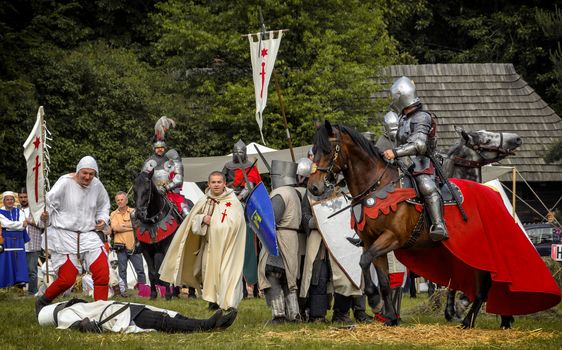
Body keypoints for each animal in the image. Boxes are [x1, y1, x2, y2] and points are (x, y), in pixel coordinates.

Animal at [131, 171, 179, 300]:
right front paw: (153, 294)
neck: (153, 220)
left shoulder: (167, 248)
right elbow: (152, 272)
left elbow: (164, 271)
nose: (140, 214)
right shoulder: (146, 250)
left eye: (147, 189)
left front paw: (167, 295)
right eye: (134, 189)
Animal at [308, 120, 556, 328]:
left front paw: (375, 301)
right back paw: (475, 318)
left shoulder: (391, 238)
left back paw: (471, 319)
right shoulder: (372, 242)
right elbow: (381, 277)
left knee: (485, 284)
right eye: (313, 152)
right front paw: (388, 315)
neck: (378, 187)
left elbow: (364, 261)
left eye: (327, 151)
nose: (314, 187)